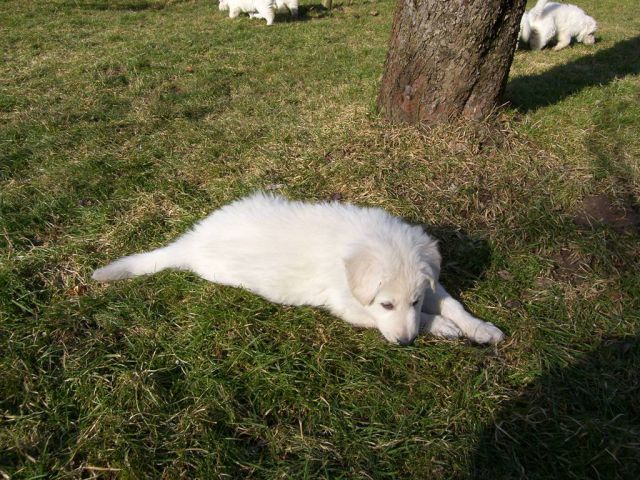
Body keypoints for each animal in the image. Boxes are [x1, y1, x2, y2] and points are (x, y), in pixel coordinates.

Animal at [94, 193, 504, 346]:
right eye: (386, 305)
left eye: (415, 300)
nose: (405, 343)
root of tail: (191, 243)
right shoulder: (349, 306)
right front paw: (442, 328)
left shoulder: (431, 284)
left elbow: (453, 303)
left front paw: (480, 328)